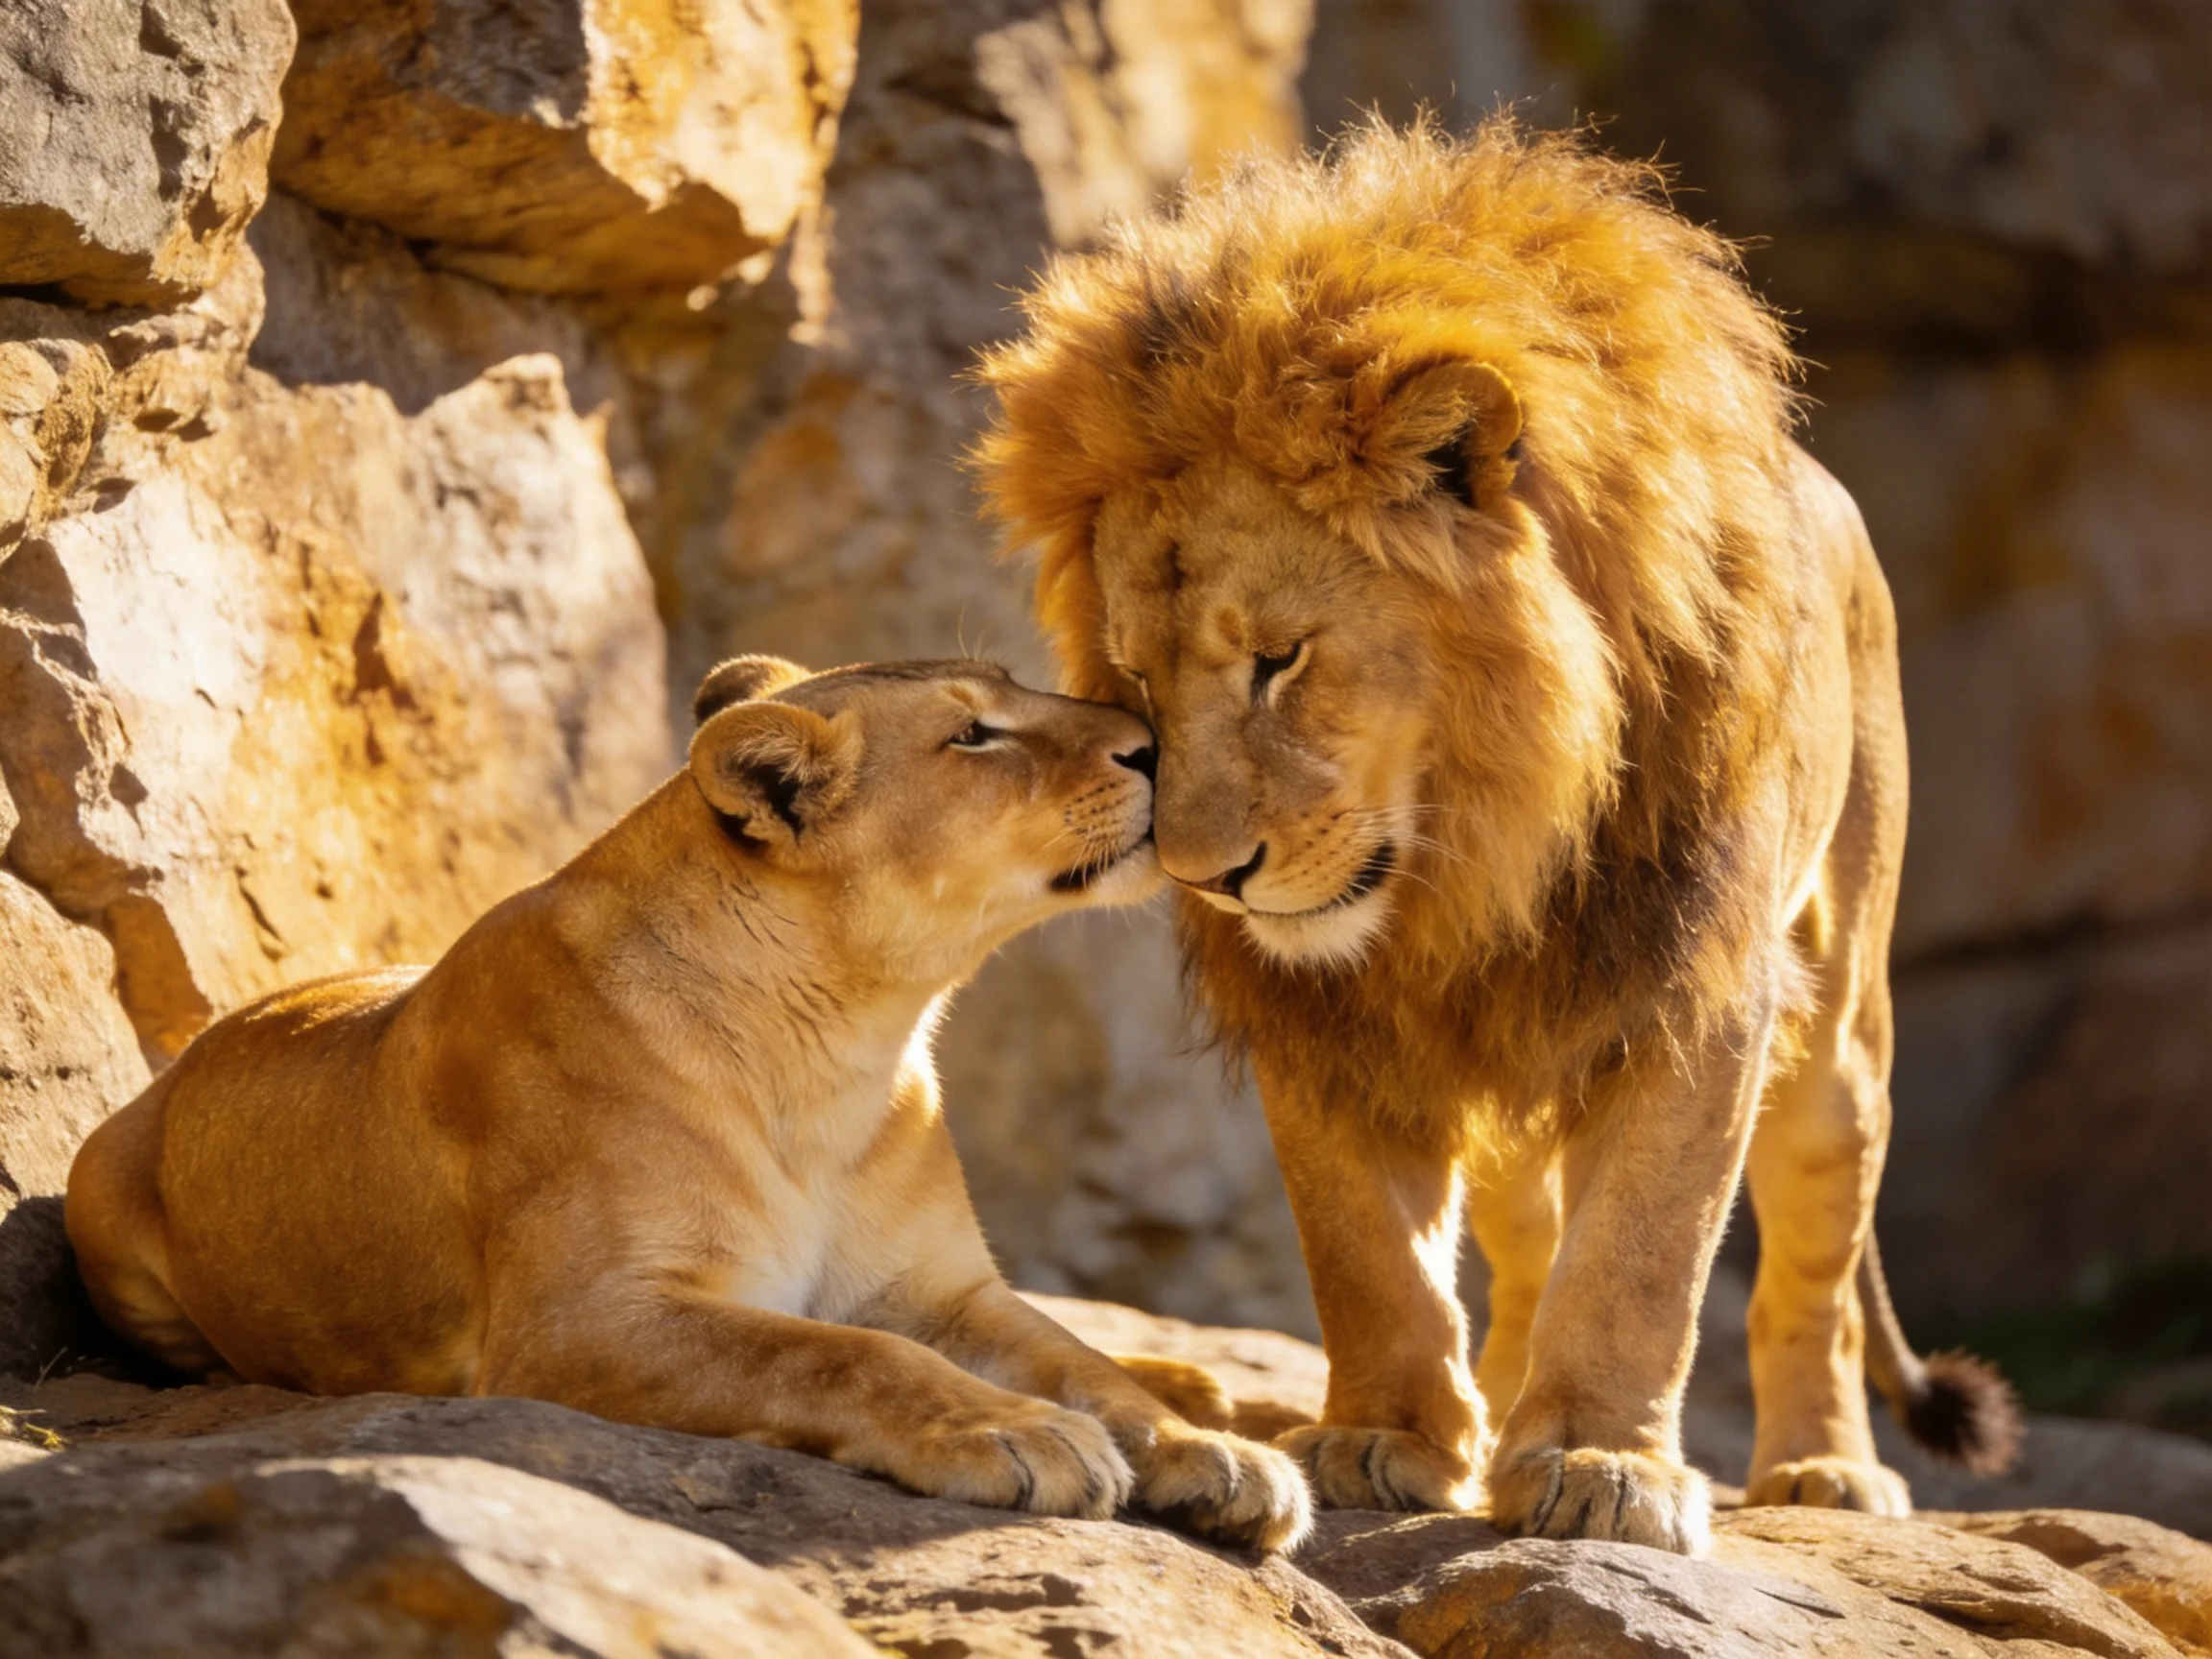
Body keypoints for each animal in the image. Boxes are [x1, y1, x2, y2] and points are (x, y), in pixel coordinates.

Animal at [65, 655, 1311, 1552]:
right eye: (972, 735)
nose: (1155, 743)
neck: (845, 1044)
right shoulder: (578, 1326)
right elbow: (839, 1356)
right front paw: (1012, 1431)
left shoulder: (941, 1290)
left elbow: (1080, 1362)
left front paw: (1208, 1452)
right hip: (100, 1199)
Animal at [973, 118, 2018, 1555]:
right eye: (1132, 679)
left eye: (1280, 661)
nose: (1204, 878)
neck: (1471, 847)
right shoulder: (1326, 1012)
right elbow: (1364, 1248)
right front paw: (1385, 1438)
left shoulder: (1692, 977)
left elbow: (1646, 1247)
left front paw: (1600, 1459)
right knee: (1528, 1234)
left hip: (1841, 1014)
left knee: (1811, 1247)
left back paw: (1822, 1468)